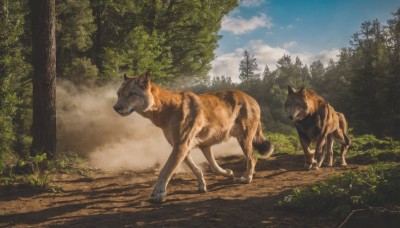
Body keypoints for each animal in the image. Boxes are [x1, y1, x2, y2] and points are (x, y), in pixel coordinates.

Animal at [113, 72, 276, 201]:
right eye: (119, 94)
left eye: (131, 94)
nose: (116, 108)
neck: (164, 109)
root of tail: (251, 98)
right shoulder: (185, 146)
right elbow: (198, 167)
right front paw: (207, 182)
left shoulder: (181, 145)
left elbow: (165, 170)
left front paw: (159, 193)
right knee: (229, 162)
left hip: (244, 139)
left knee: (252, 158)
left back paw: (247, 178)